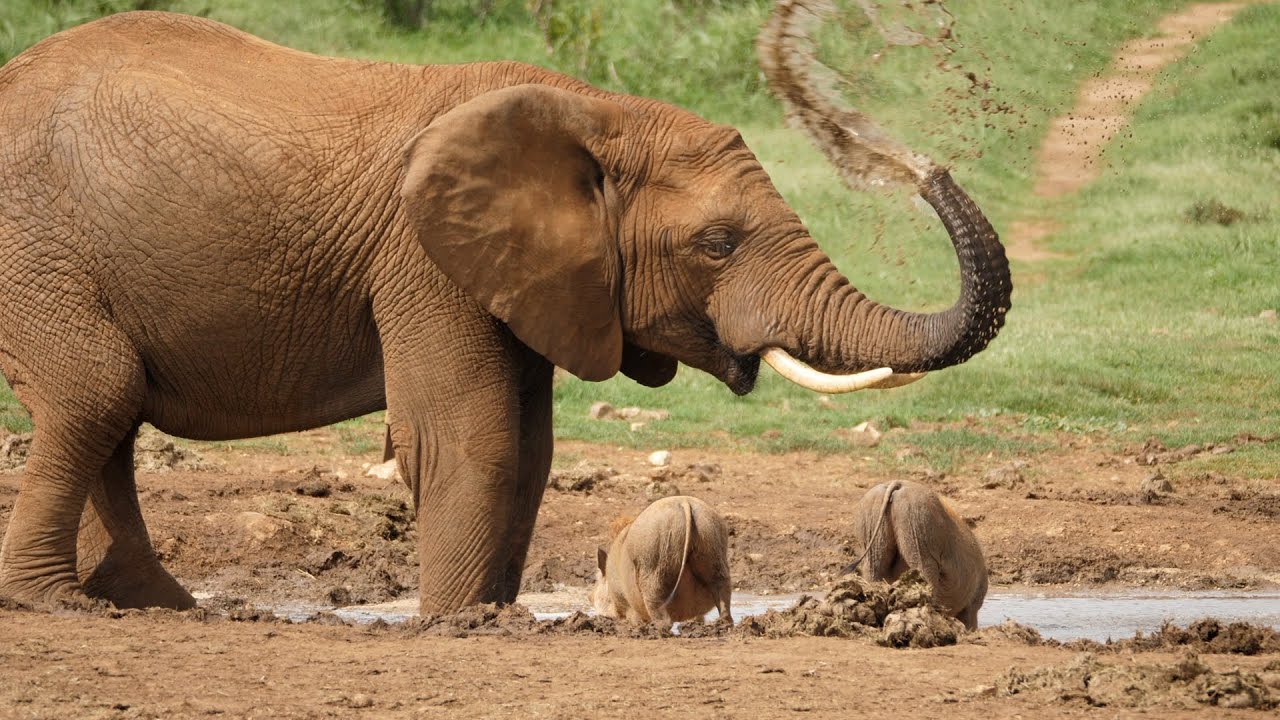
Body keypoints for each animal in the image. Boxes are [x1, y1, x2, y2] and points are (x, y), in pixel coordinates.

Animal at [591, 495, 732, 626]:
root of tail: (684, 502)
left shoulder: (627, 605)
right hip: (713, 542)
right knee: (722, 588)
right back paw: (723, 624)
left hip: (655, 559)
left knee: (658, 607)